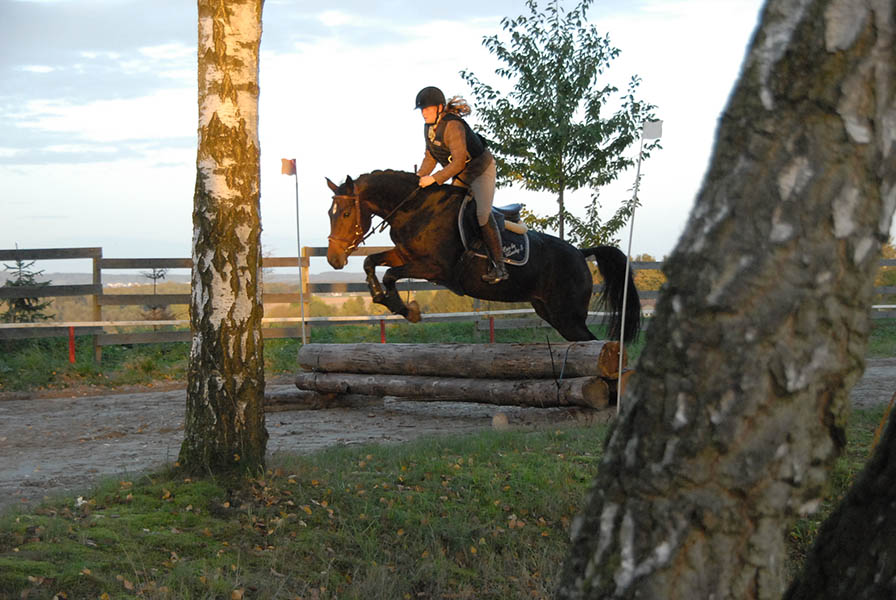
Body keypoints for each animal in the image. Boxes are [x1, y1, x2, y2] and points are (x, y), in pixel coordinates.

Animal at [326, 169, 640, 342]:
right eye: (330, 213)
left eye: (345, 214)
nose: (334, 260)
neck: (415, 209)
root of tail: (580, 252)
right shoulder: (404, 255)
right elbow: (371, 262)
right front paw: (388, 301)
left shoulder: (435, 268)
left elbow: (391, 274)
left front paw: (406, 309)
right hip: (550, 311)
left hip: (567, 315)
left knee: (591, 343)